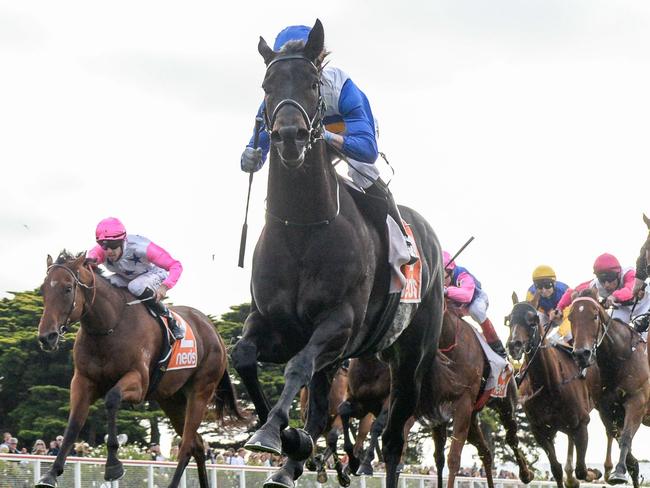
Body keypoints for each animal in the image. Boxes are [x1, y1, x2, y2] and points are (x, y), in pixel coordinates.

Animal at [34, 254, 240, 488]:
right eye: (43, 289)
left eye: (68, 288)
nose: (47, 337)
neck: (109, 327)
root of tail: (215, 332)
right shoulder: (82, 381)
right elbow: (73, 425)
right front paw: (51, 473)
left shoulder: (139, 382)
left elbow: (112, 399)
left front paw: (113, 466)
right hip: (171, 399)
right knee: (197, 443)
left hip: (201, 391)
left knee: (187, 444)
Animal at [230, 19, 448, 488]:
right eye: (266, 85)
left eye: (313, 84)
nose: (288, 136)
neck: (302, 229)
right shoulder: (274, 324)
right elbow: (245, 358)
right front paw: (288, 440)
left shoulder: (339, 324)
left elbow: (298, 367)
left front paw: (276, 434)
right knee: (321, 403)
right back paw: (292, 464)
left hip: (410, 360)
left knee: (393, 438)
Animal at [504, 296, 600, 488]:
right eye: (509, 320)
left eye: (532, 321)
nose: (514, 345)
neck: (549, 384)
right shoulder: (541, 431)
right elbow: (556, 468)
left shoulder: (581, 423)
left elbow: (582, 470)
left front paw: (594, 472)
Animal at [568, 288, 644, 486]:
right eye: (570, 318)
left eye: (595, 316)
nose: (581, 354)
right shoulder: (606, 409)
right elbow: (620, 439)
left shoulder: (637, 401)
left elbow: (625, 437)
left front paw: (618, 472)